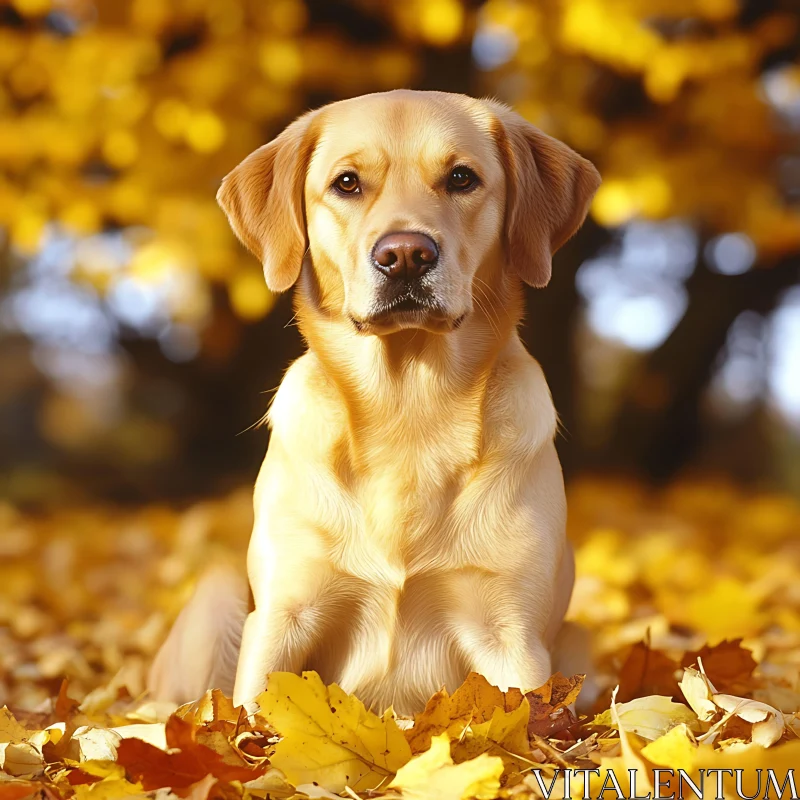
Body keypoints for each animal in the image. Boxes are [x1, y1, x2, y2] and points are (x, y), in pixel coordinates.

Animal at [148, 90, 600, 716]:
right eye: (347, 183)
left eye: (462, 178)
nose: (406, 254)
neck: (407, 405)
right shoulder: (282, 618)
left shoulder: (513, 637)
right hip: (217, 595)